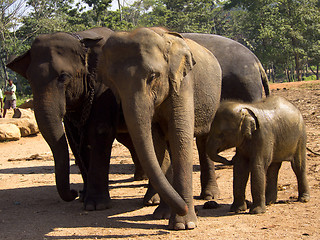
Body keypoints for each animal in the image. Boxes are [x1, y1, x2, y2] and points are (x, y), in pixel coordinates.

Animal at [6, 28, 144, 211]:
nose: (74, 192)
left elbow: (100, 131)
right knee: (127, 138)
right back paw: (140, 177)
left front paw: (96, 205)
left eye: (64, 77)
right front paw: (84, 197)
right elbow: (74, 139)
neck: (82, 39)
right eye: (30, 79)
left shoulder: (105, 90)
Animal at [98, 28, 222, 231]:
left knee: (203, 140)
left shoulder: (183, 82)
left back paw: (210, 196)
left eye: (153, 76)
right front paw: (162, 215)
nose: (183, 208)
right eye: (113, 83)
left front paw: (185, 224)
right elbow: (156, 144)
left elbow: (180, 138)